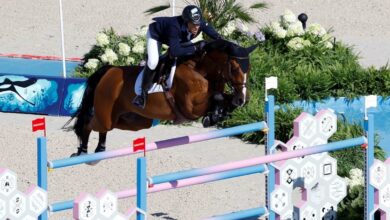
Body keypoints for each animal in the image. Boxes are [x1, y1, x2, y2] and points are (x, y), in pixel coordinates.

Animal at [65, 39, 258, 156]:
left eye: (249, 68)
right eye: (234, 68)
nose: (243, 99)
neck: (201, 71)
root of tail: (109, 70)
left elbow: (223, 99)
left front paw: (219, 114)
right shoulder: (190, 108)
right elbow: (216, 97)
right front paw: (211, 117)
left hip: (135, 121)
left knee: (104, 128)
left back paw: (100, 150)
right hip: (107, 114)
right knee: (90, 125)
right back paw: (83, 151)